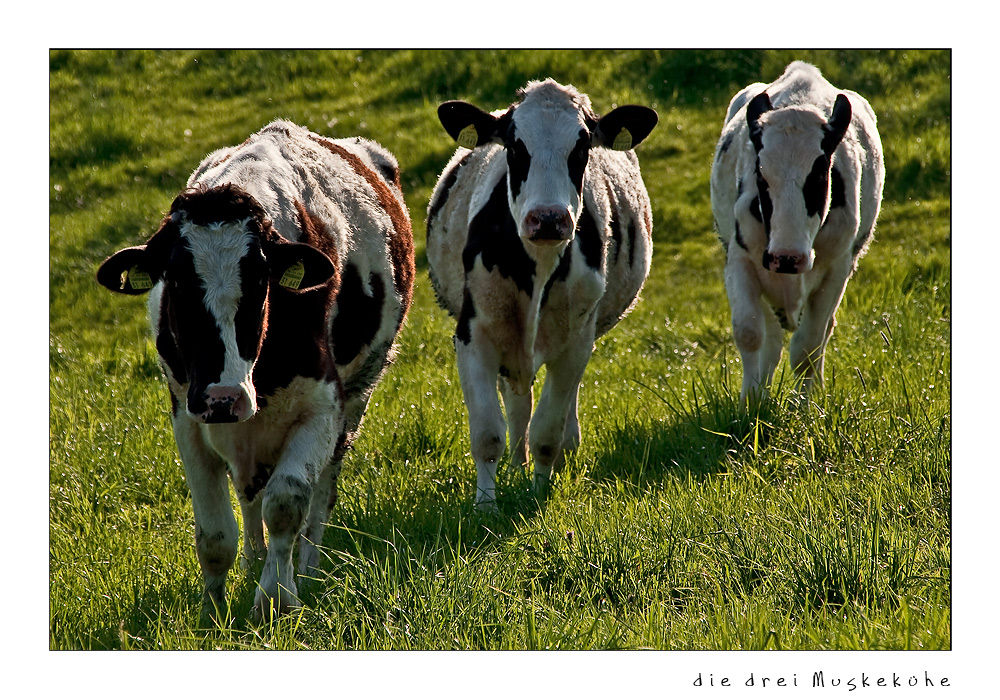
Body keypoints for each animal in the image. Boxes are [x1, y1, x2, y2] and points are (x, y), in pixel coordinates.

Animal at [96, 121, 414, 624]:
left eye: (261, 280)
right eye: (176, 281)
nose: (223, 397)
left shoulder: (323, 407)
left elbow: (287, 504)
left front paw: (277, 598)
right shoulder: (187, 415)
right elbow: (214, 534)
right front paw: (213, 610)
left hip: (356, 399)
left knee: (320, 491)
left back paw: (307, 567)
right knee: (248, 495)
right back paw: (253, 562)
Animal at [428, 79, 656, 512]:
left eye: (582, 148)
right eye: (515, 147)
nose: (548, 218)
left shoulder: (576, 344)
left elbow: (547, 431)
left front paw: (537, 494)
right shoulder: (473, 334)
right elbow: (487, 434)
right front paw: (486, 506)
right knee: (517, 406)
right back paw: (516, 465)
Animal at [708, 63, 888, 408]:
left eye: (819, 174)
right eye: (760, 175)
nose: (787, 257)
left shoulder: (838, 268)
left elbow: (808, 347)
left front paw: (806, 408)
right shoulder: (740, 258)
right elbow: (750, 333)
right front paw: (751, 404)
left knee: (819, 335)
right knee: (773, 337)